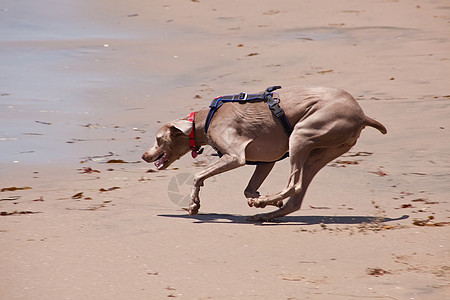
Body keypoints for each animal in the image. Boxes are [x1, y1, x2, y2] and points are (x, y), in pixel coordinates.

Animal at [142, 85, 386, 221]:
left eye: (158, 139)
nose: (144, 156)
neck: (207, 118)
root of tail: (361, 115)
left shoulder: (236, 156)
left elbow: (197, 175)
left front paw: (194, 204)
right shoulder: (266, 160)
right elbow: (248, 189)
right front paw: (260, 199)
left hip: (302, 134)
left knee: (294, 185)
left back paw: (265, 205)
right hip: (319, 152)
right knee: (296, 199)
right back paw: (265, 212)